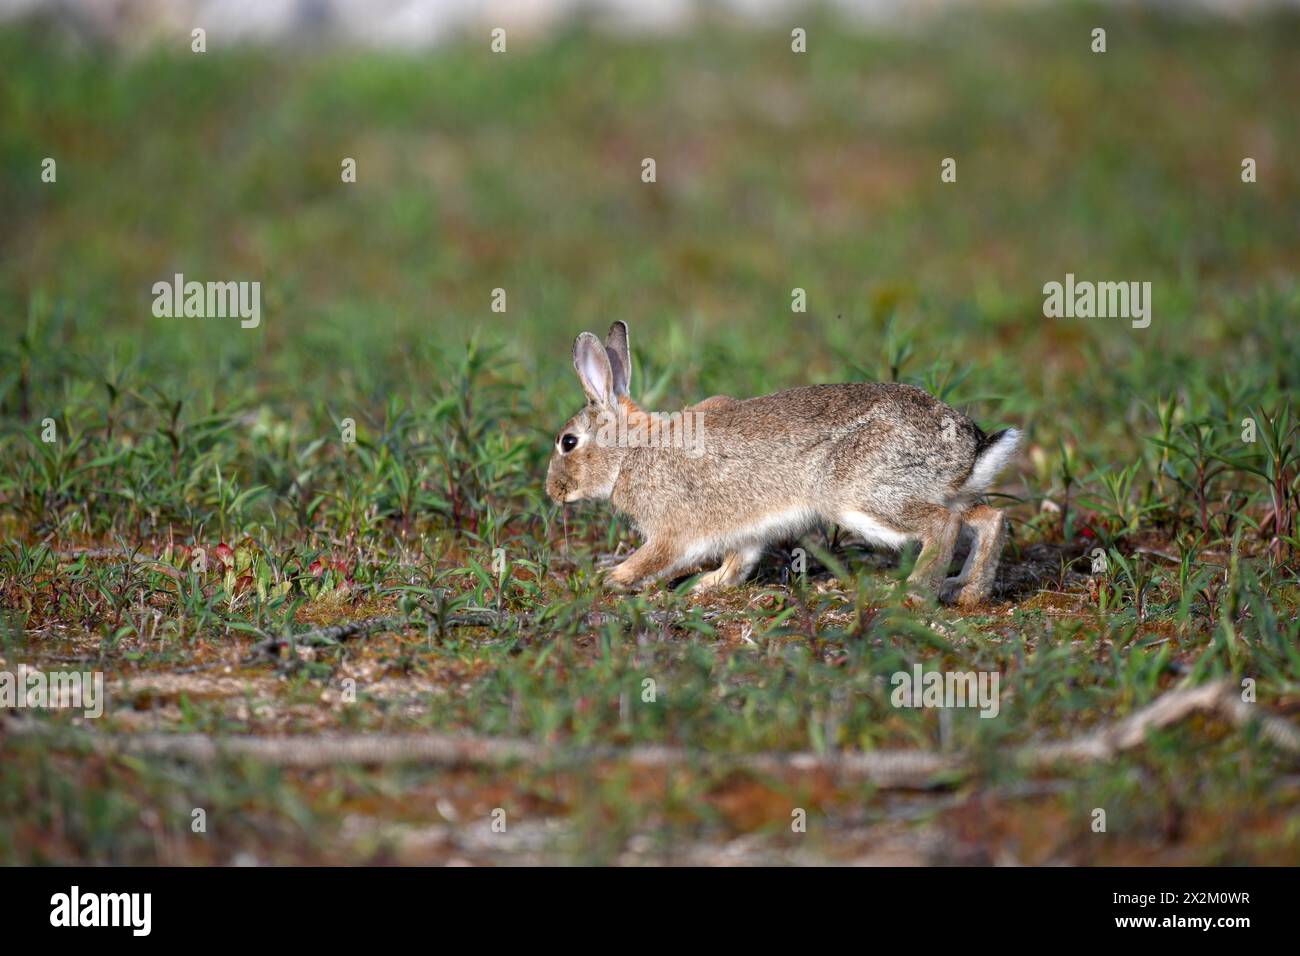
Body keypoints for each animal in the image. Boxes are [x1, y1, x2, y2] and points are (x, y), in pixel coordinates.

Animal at [543, 321, 1019, 606]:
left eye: (568, 442)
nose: (552, 491)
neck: (631, 452)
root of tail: (968, 446)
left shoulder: (672, 529)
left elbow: (656, 557)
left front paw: (612, 579)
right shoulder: (744, 531)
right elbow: (739, 562)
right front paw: (708, 584)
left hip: (859, 494)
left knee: (942, 525)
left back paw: (915, 591)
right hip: (942, 490)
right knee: (989, 519)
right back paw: (968, 591)